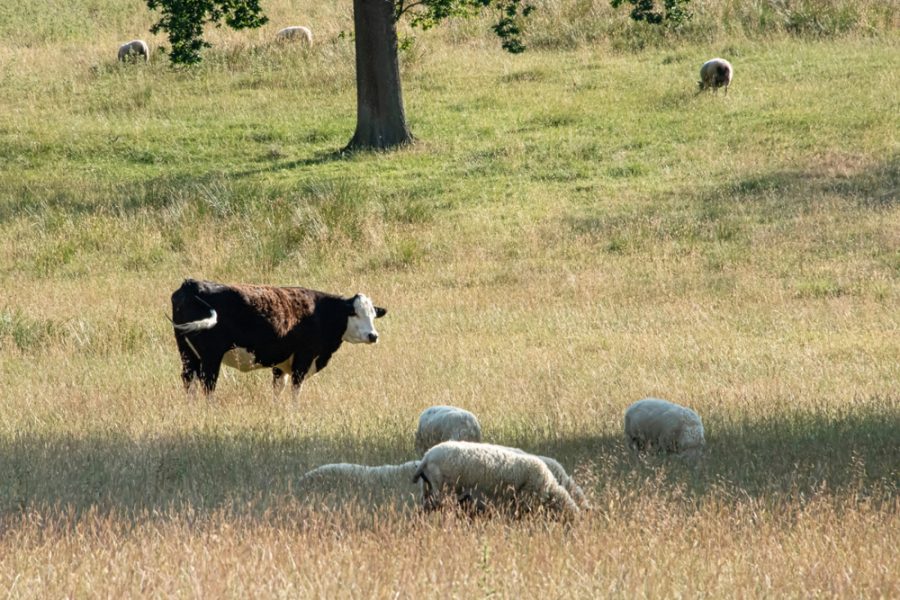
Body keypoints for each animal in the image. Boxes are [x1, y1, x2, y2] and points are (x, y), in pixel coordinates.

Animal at [171, 280, 384, 400]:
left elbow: (278, 388)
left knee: (189, 380)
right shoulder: (303, 358)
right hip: (211, 356)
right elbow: (295, 389)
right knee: (208, 384)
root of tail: (192, 284)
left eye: (373, 314)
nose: (373, 336)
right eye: (354, 313)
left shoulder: (281, 364)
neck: (320, 313)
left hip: (187, 353)